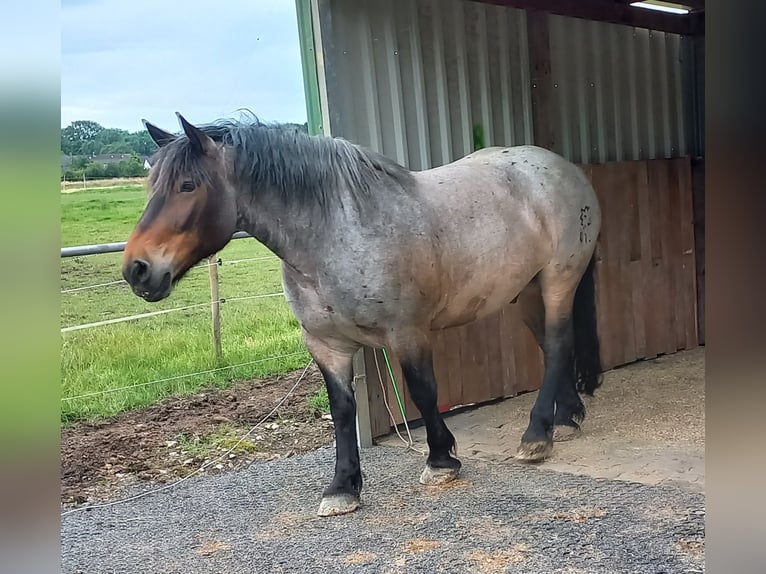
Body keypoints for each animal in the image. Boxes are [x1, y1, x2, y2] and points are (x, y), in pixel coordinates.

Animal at [123, 115, 604, 520]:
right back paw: (565, 418)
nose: (137, 270)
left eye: (188, 185)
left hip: (559, 280)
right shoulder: (326, 346)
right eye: (151, 185)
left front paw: (441, 460)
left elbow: (423, 391)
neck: (337, 234)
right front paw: (342, 488)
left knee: (558, 343)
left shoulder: (407, 334)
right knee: (552, 347)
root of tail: (562, 168)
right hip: (526, 291)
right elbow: (341, 411)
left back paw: (536, 436)